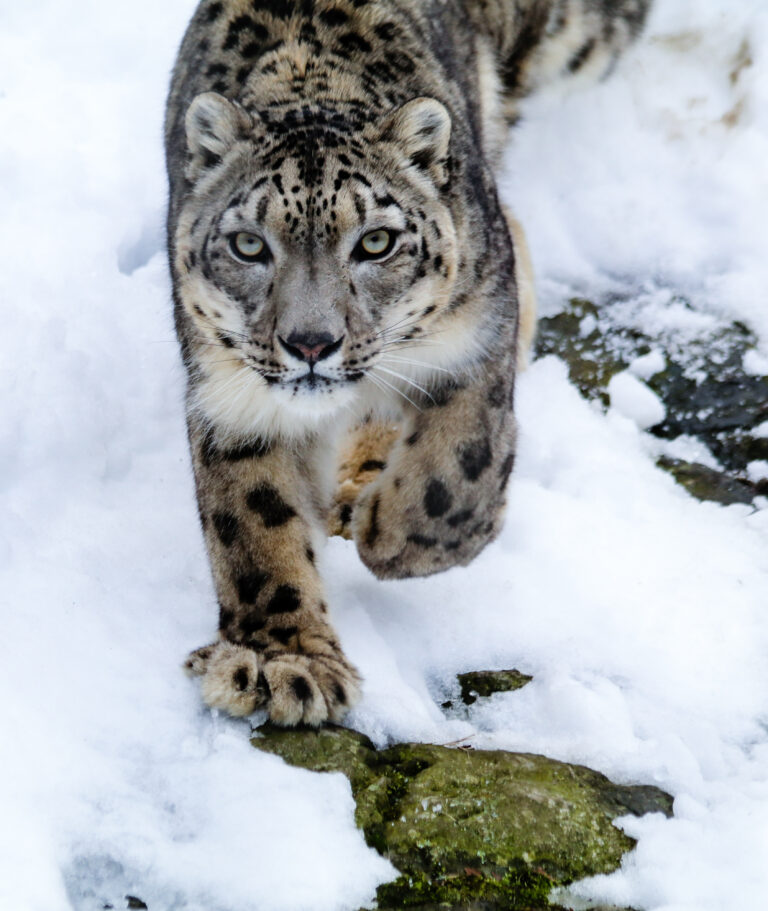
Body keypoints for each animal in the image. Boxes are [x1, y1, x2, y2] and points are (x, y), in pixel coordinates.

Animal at [165, 0, 651, 726]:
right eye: (249, 245)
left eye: (376, 242)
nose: (311, 342)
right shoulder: (231, 393)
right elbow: (252, 519)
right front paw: (280, 662)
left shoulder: (476, 335)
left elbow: (457, 468)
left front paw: (392, 536)